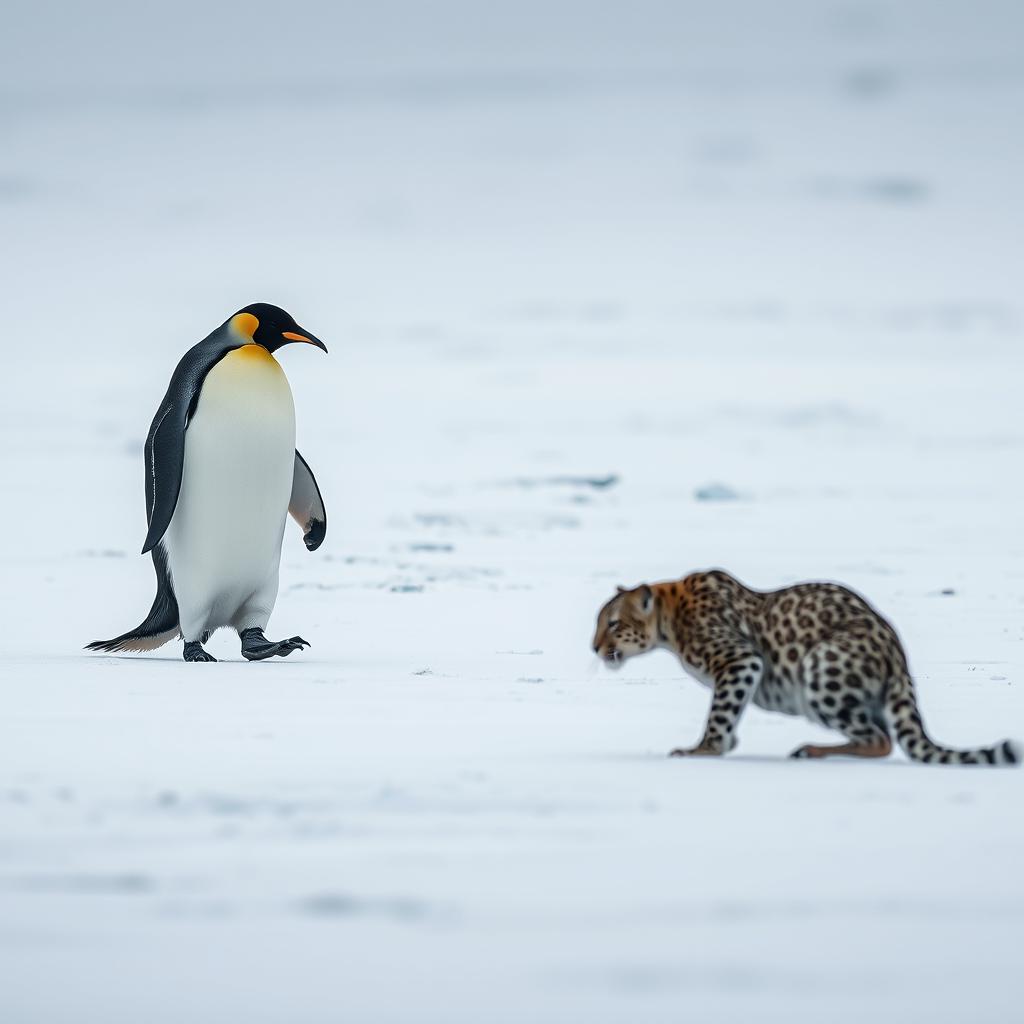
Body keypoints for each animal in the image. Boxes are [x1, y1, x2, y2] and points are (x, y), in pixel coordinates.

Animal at [589, 573, 1019, 765]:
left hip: (820, 670)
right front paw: (723, 744)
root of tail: (896, 654)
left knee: (880, 740)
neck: (670, 620)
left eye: (613, 623)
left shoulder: (740, 660)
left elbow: (720, 712)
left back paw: (813, 750)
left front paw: (705, 749)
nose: (594, 647)